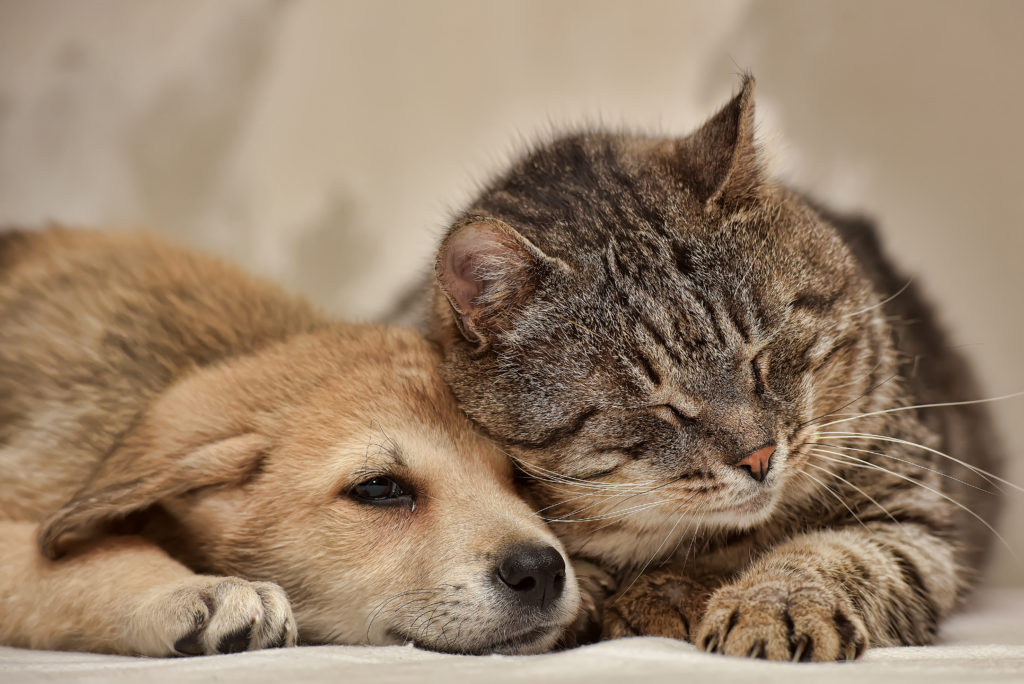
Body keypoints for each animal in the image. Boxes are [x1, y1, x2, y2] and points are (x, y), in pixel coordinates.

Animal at [419, 77, 1003, 659]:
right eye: (661, 406)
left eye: (760, 356)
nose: (759, 457)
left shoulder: (910, 509)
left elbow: (833, 555)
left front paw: (770, 605)